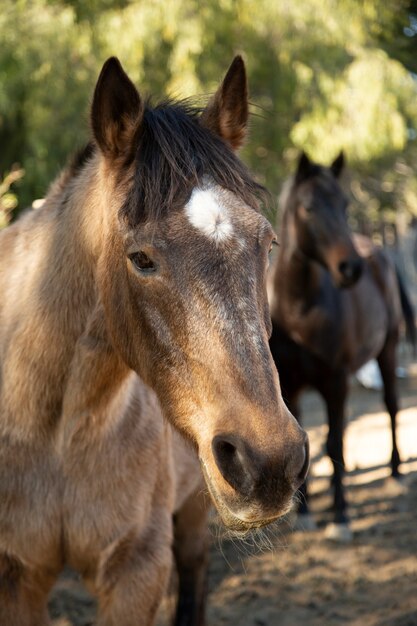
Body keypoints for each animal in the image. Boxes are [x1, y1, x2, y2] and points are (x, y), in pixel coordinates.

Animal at [0, 56, 308, 620]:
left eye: (268, 242)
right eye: (140, 258)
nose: (271, 462)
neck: (53, 432)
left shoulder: (137, 568)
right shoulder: (15, 579)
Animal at [266, 152, 412, 540]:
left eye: (344, 205)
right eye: (308, 207)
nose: (351, 268)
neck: (297, 312)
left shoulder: (335, 383)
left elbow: (334, 446)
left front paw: (341, 517)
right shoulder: (290, 388)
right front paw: (304, 515)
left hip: (387, 351)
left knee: (391, 406)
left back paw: (396, 472)